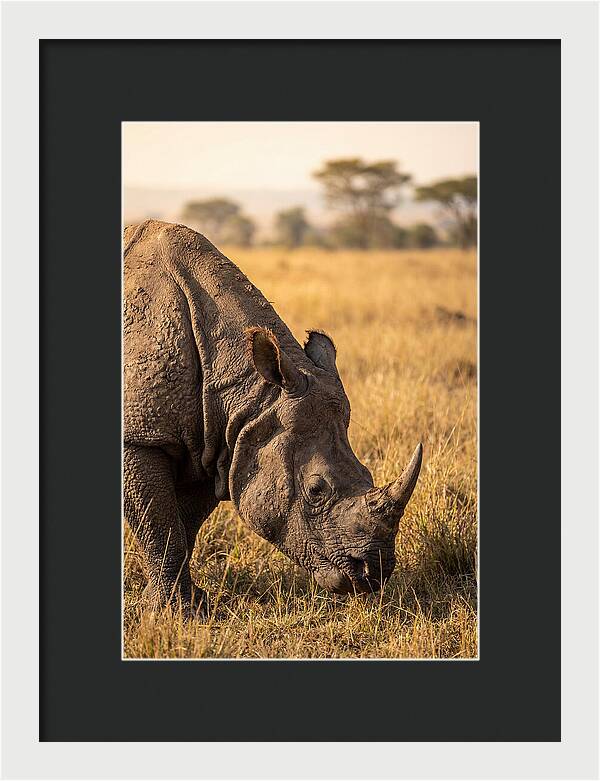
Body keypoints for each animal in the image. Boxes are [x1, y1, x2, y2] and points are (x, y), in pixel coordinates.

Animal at [124, 220, 422, 615]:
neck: (250, 394)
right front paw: (175, 613)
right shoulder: (141, 437)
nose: (374, 574)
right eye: (316, 490)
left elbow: (183, 525)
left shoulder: (215, 441)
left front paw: (182, 605)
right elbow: (160, 527)